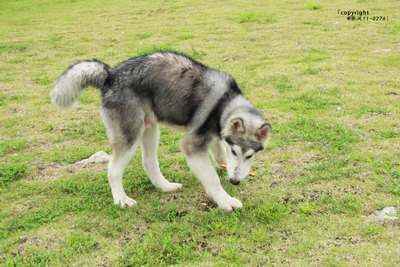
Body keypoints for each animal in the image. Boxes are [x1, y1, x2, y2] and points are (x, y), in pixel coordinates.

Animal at [50, 51, 272, 211]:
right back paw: (121, 200)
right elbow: (212, 178)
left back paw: (166, 187)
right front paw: (226, 201)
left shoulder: (215, 136)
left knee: (148, 163)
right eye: (235, 151)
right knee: (113, 170)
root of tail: (110, 75)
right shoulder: (191, 145)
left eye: (249, 156)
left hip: (150, 129)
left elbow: (218, 153)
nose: (235, 181)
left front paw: (224, 166)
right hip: (131, 134)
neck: (224, 103)